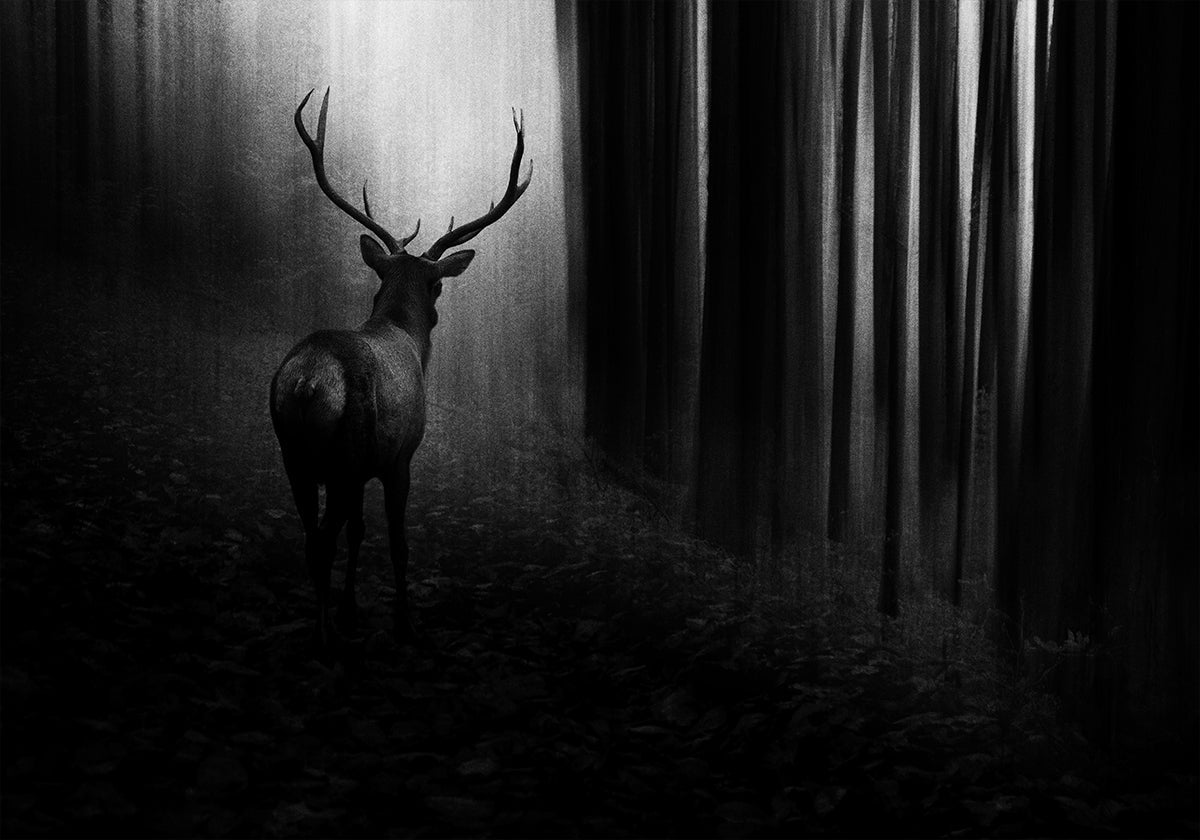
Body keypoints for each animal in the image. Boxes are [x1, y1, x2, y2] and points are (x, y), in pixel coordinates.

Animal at [270, 88, 531, 649]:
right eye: (438, 285)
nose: (436, 309)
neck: (404, 336)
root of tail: (307, 382)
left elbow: (361, 533)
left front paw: (352, 606)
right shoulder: (400, 457)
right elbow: (396, 540)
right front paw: (405, 621)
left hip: (293, 454)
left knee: (311, 535)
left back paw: (327, 619)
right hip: (345, 455)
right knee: (321, 540)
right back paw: (324, 634)